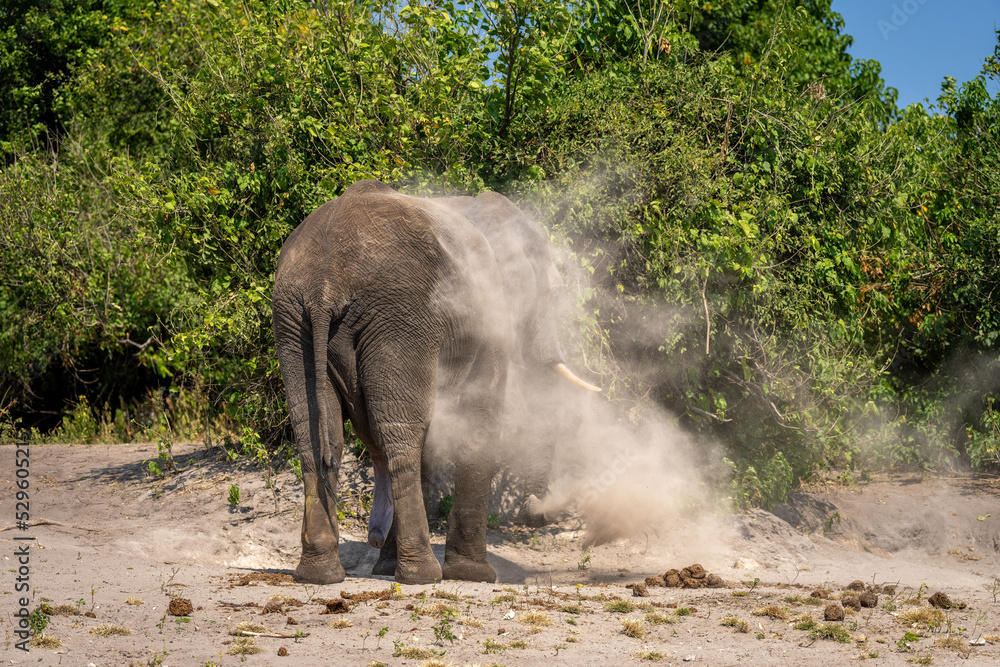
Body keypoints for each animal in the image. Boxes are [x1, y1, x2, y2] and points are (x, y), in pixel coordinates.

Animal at [272, 179, 599, 585]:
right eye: (553, 292)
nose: (535, 506)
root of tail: (326, 284)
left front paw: (387, 567)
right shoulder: (488, 316)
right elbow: (478, 417)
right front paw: (475, 575)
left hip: (293, 319)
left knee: (315, 434)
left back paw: (319, 575)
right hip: (399, 318)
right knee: (400, 436)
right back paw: (421, 575)